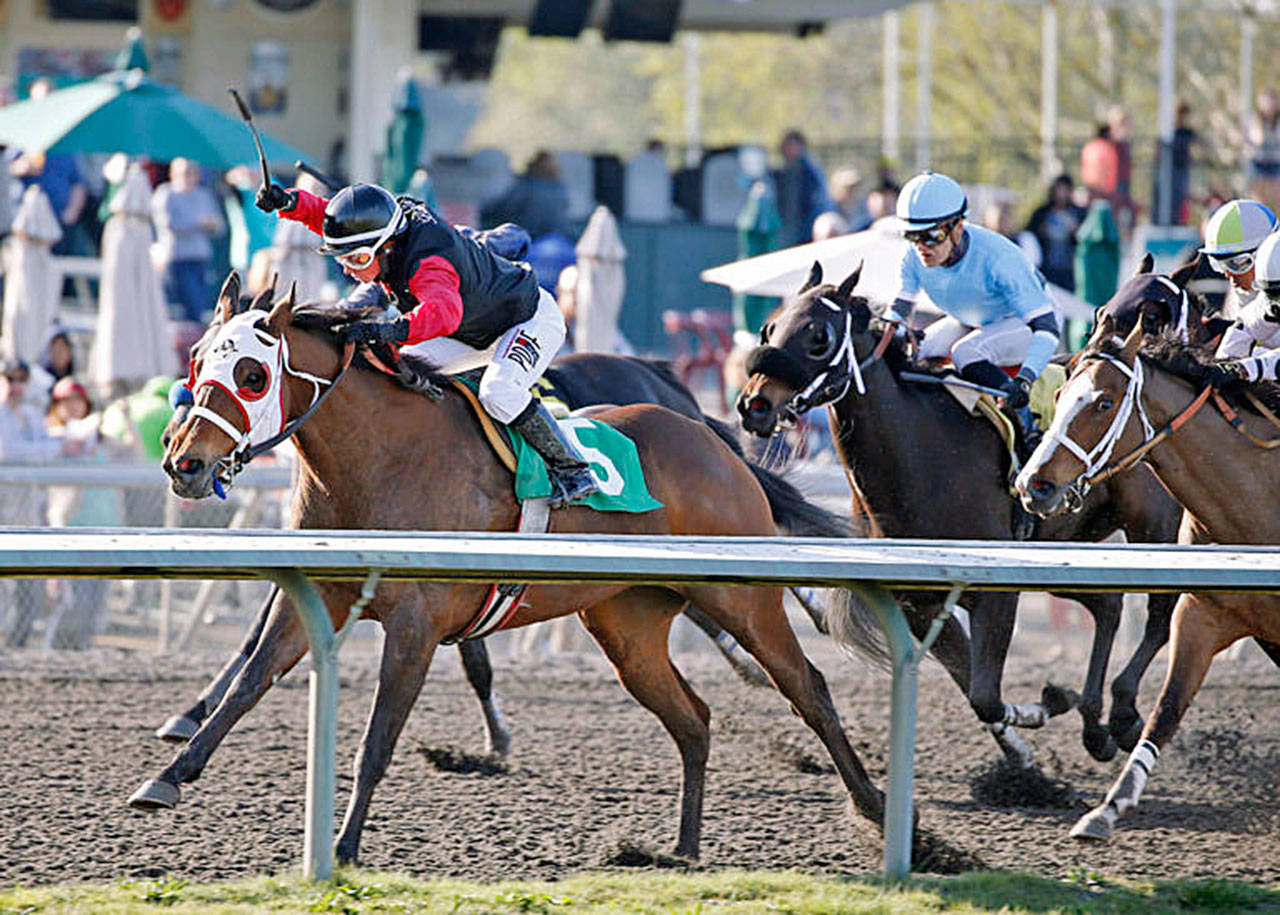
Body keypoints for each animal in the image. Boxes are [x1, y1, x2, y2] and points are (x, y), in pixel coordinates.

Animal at [145, 278, 896, 865]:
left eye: (252, 375)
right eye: (196, 360)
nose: (184, 463)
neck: (380, 459)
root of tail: (708, 433)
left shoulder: (415, 624)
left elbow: (377, 739)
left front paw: (345, 846)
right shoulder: (317, 593)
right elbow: (247, 682)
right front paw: (168, 776)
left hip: (741, 599)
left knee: (807, 687)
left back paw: (881, 812)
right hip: (627, 626)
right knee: (693, 717)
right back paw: (679, 849)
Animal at [732, 264, 1177, 767]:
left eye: (819, 336)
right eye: (769, 328)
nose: (754, 405)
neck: (921, 456)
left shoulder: (998, 592)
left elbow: (985, 695)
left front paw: (1049, 706)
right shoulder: (919, 604)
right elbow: (973, 690)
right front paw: (1029, 748)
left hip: (1153, 527)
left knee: (1159, 617)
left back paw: (1124, 716)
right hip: (1068, 544)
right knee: (1109, 604)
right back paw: (1095, 727)